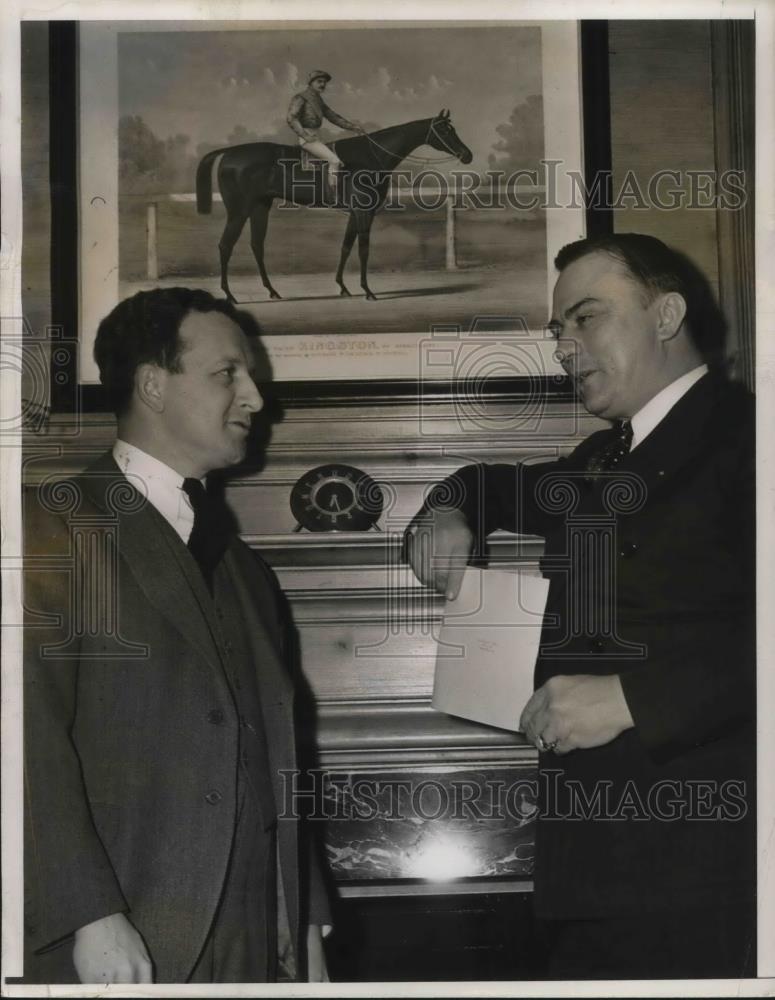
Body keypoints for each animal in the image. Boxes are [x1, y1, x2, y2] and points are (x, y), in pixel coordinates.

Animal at [196, 111, 472, 300]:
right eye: (445, 131)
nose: (467, 155)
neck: (370, 156)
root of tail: (230, 153)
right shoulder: (364, 212)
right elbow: (363, 249)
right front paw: (367, 290)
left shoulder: (355, 213)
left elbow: (345, 247)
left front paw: (343, 286)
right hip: (239, 211)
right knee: (225, 245)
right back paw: (229, 294)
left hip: (260, 207)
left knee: (256, 245)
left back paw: (272, 291)